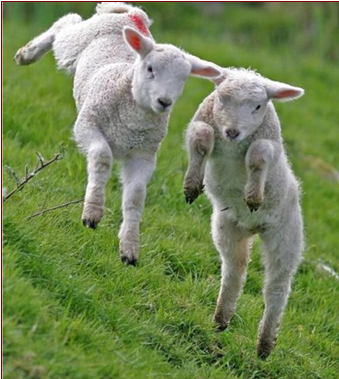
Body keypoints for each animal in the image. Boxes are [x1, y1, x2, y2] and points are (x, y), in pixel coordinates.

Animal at [15, 2, 220, 268]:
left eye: (183, 79)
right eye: (150, 69)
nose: (165, 102)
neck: (132, 118)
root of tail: (133, 15)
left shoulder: (144, 154)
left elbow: (135, 197)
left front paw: (129, 248)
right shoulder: (88, 124)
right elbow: (102, 157)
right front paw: (92, 213)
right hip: (76, 42)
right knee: (65, 25)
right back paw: (26, 54)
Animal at [185, 67, 306, 360]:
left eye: (258, 106)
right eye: (221, 98)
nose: (232, 131)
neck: (232, 147)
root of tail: (253, 227)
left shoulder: (269, 143)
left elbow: (258, 154)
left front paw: (253, 196)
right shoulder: (200, 123)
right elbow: (201, 137)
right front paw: (192, 185)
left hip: (286, 236)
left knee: (277, 288)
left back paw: (265, 344)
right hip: (227, 227)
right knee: (235, 269)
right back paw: (221, 318)